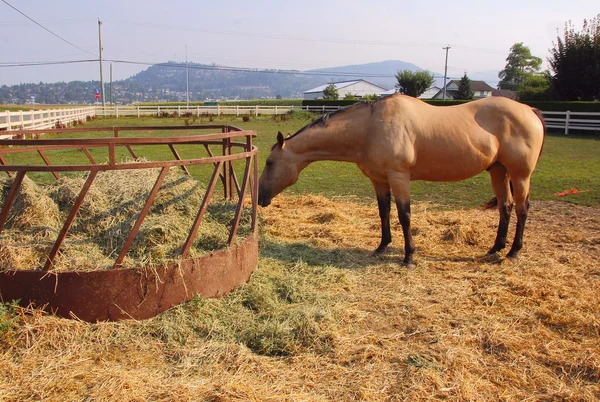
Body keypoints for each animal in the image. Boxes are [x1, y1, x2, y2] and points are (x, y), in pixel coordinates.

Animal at [255, 94, 548, 268]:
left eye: (269, 163)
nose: (259, 196)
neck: (370, 127)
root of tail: (529, 110)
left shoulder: (399, 177)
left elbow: (404, 215)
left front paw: (409, 256)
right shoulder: (379, 179)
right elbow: (383, 212)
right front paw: (382, 246)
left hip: (520, 174)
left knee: (521, 209)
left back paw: (513, 252)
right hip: (498, 171)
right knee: (505, 208)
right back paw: (495, 248)